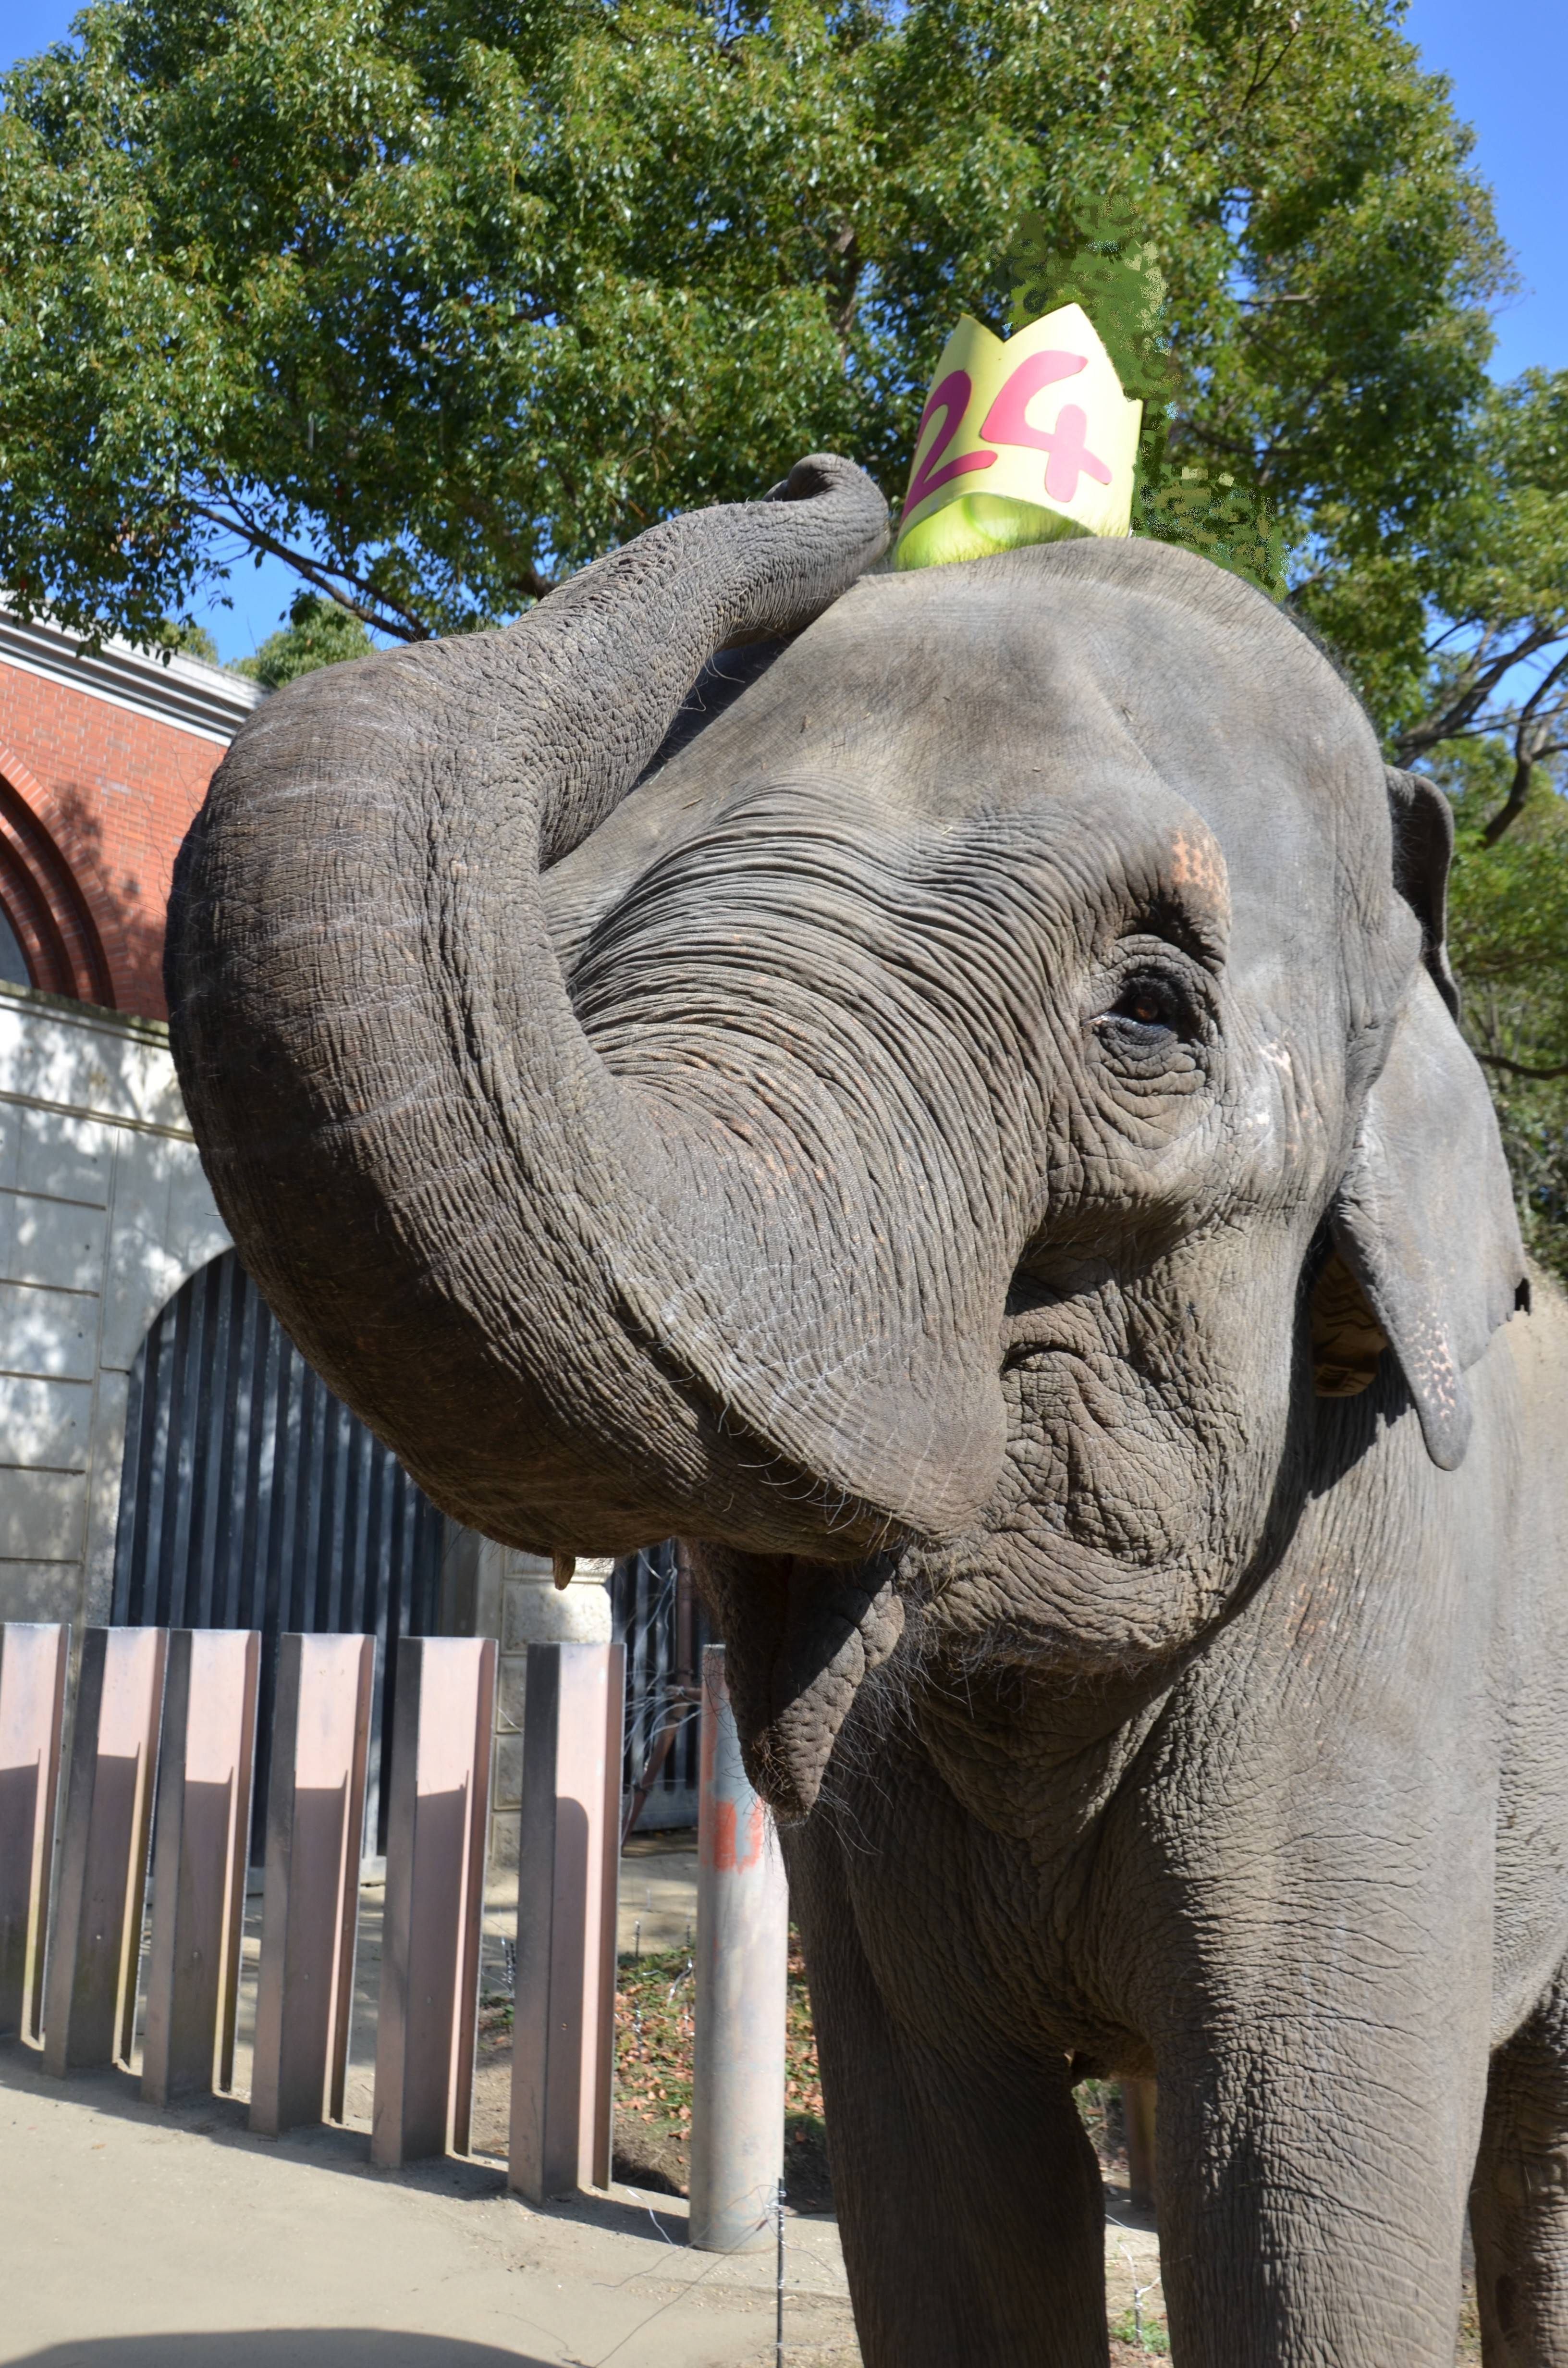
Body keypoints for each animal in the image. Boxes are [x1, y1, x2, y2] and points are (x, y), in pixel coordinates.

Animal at [166, 452, 1568, 2358]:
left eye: (1149, 1008)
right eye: (566, 944)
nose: (822, 473)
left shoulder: (1381, 1626)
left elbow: (1297, 2226)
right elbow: (947, 2210)